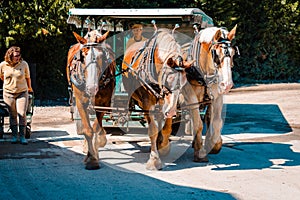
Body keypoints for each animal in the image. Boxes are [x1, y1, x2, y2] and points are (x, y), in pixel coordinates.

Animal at [67, 29, 116, 170]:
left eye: (102, 57)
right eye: (83, 56)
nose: (91, 88)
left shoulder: (103, 103)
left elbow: (96, 128)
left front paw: (96, 149)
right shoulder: (80, 102)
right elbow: (88, 130)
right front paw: (91, 158)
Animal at [120, 28, 198, 170]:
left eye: (183, 82)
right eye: (169, 79)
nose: (172, 111)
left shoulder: (166, 104)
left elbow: (166, 128)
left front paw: (163, 147)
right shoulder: (148, 103)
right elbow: (153, 129)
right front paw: (154, 160)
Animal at [182, 25, 238, 162]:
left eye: (233, 54)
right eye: (216, 54)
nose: (227, 84)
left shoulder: (217, 97)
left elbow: (216, 122)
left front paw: (214, 144)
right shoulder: (192, 99)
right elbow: (198, 124)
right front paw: (200, 152)